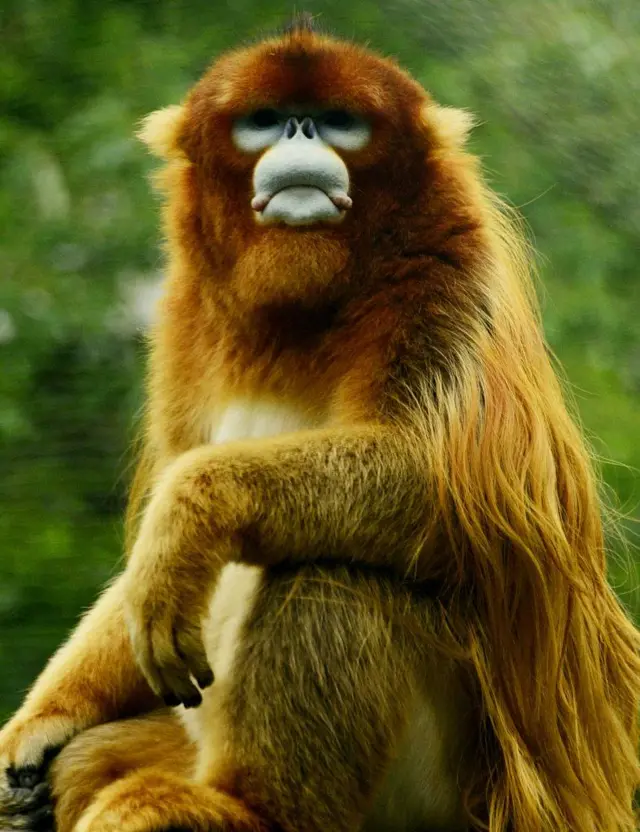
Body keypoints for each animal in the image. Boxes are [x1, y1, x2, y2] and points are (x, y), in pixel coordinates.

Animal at [1, 16, 639, 832]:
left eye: (338, 120)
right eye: (265, 119)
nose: (300, 135)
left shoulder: (446, 273)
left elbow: (450, 489)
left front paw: (192, 514)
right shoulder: (184, 312)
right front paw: (45, 719)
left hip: (441, 788)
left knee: (338, 564)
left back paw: (246, 809)